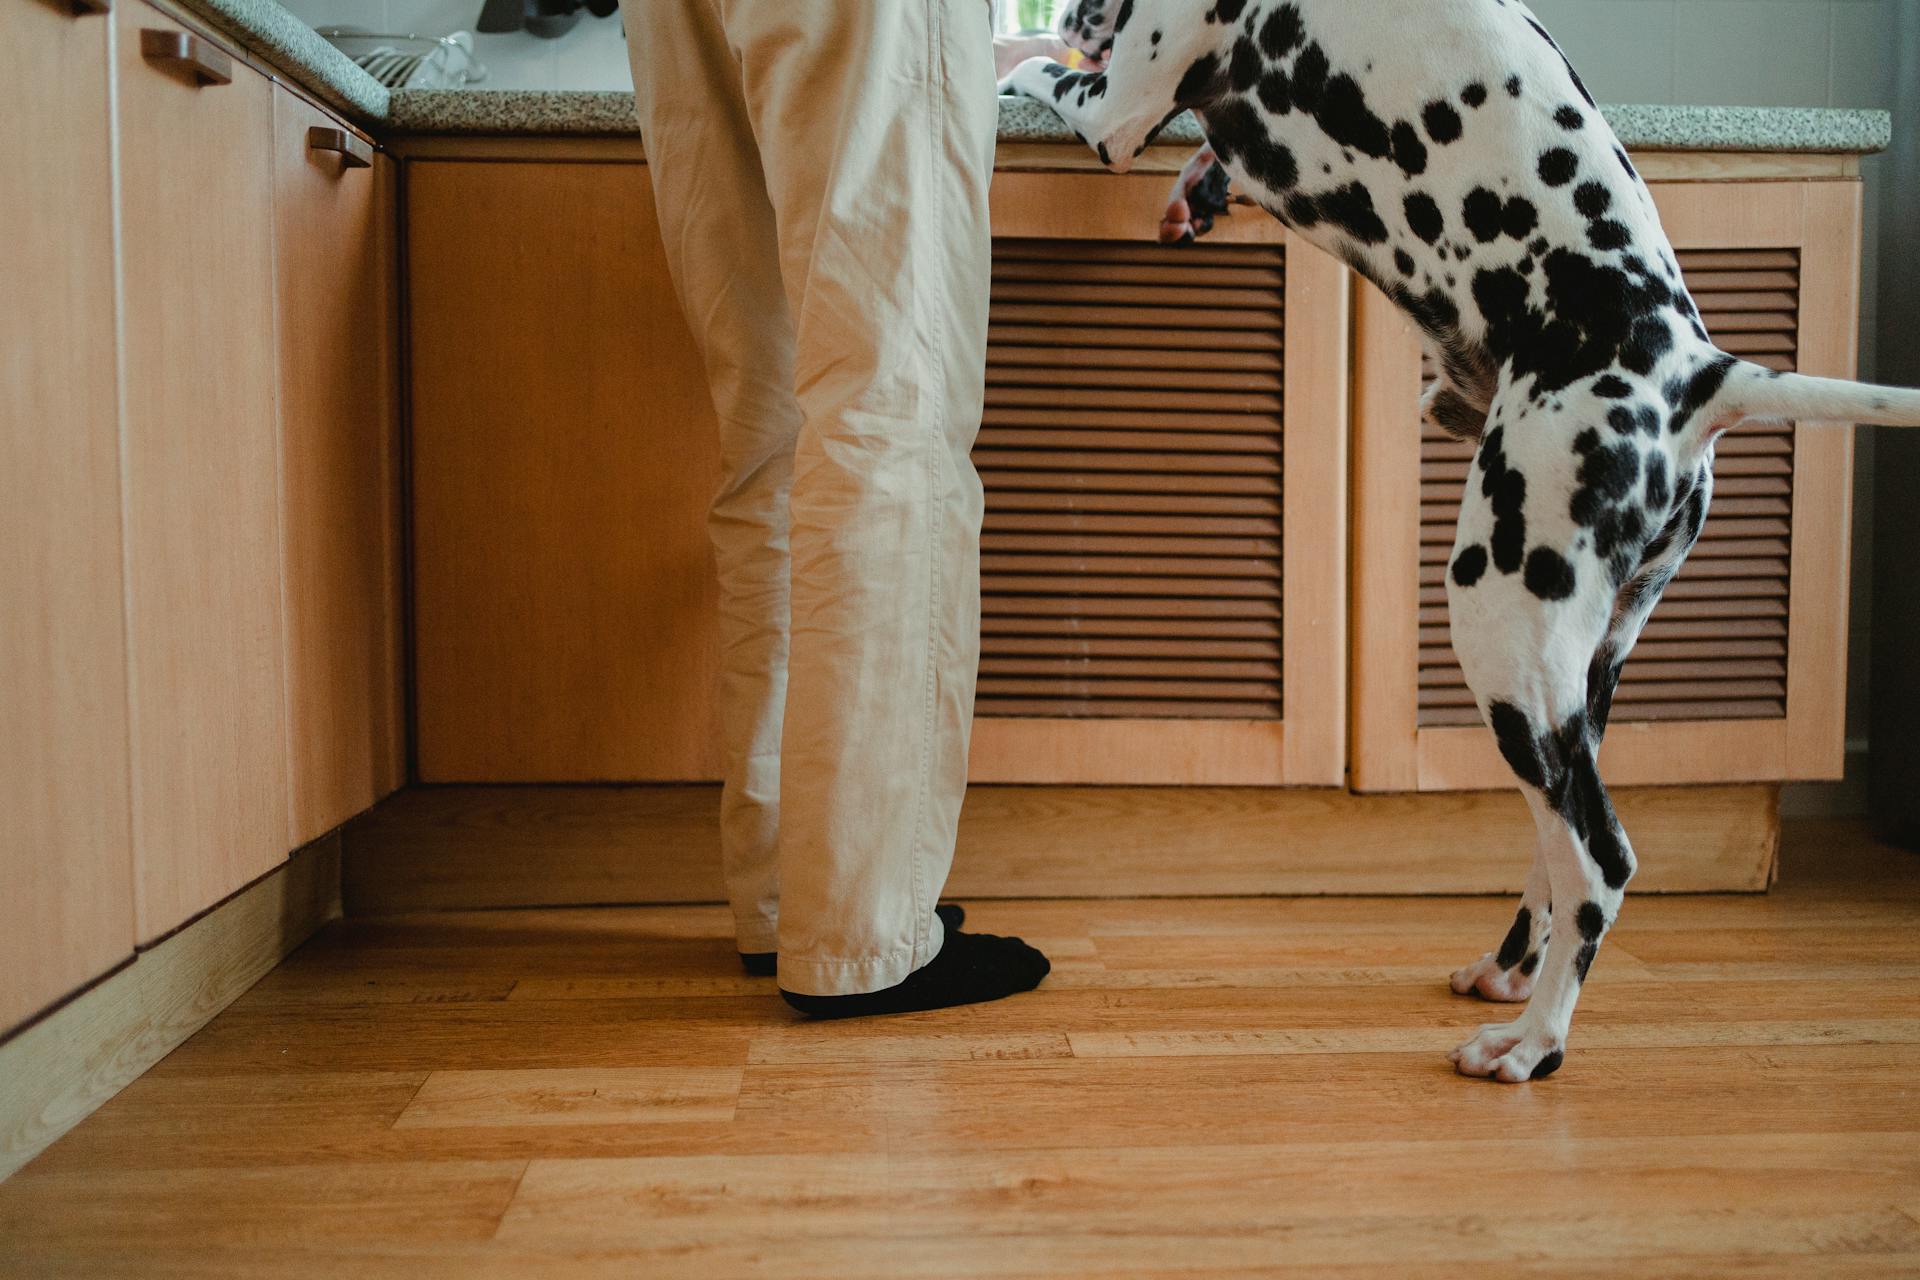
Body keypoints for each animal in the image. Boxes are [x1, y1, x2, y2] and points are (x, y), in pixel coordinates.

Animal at [998, 0, 1920, 1082]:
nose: (1073, 14)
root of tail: (1698, 374)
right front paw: (1196, 185)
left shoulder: (1116, 106)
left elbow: (1029, 71)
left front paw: (1002, 57)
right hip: (1570, 685)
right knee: (1556, 844)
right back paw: (1511, 972)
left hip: (1497, 631)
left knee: (1600, 861)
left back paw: (1533, 1044)